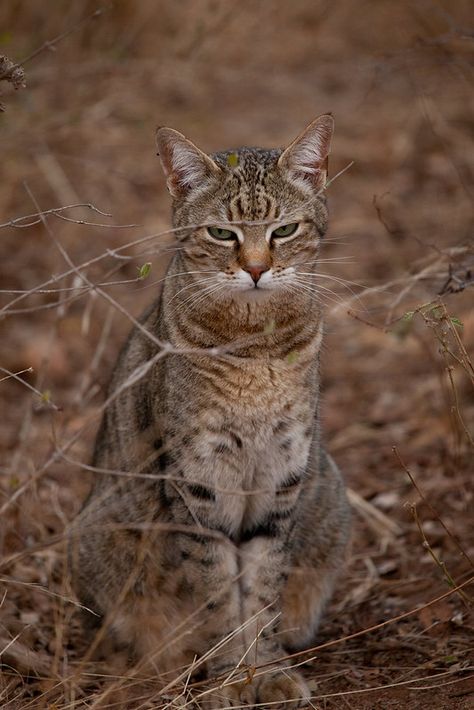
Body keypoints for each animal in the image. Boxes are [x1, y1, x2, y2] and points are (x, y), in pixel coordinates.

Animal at [70, 118, 352, 710]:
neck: (254, 346)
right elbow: (219, 593)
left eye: (283, 230)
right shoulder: (198, 485)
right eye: (222, 234)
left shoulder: (281, 478)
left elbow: (263, 590)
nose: (256, 270)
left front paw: (266, 670)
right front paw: (229, 677)